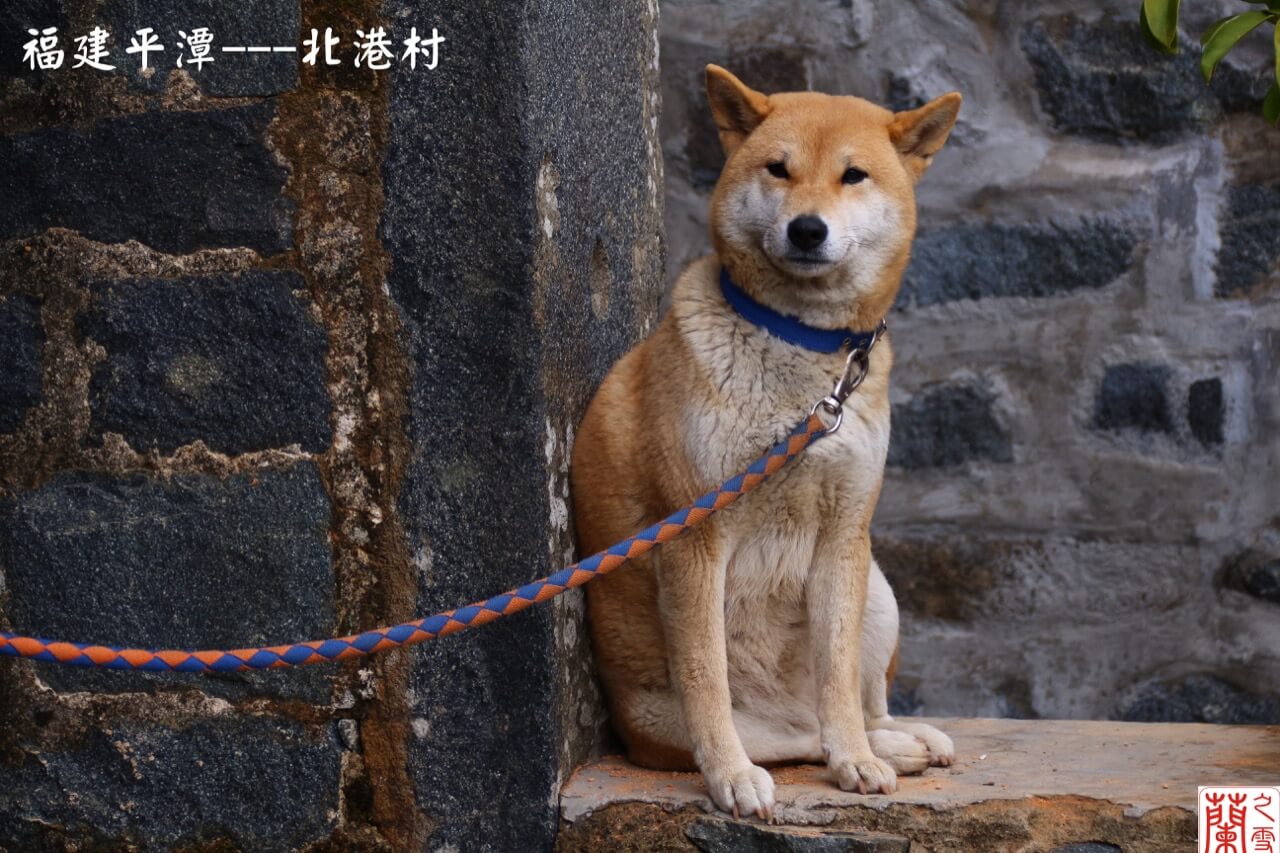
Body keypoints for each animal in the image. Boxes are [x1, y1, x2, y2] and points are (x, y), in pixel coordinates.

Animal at [573, 64, 962, 819]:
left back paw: (891, 741)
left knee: (848, 707)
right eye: (778, 169)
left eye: (853, 175)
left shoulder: (844, 533)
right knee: (790, 740)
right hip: (668, 721)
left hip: (877, 589)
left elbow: (838, 675)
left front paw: (856, 761)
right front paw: (728, 775)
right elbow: (707, 679)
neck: (799, 346)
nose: (807, 228)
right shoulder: (693, 536)